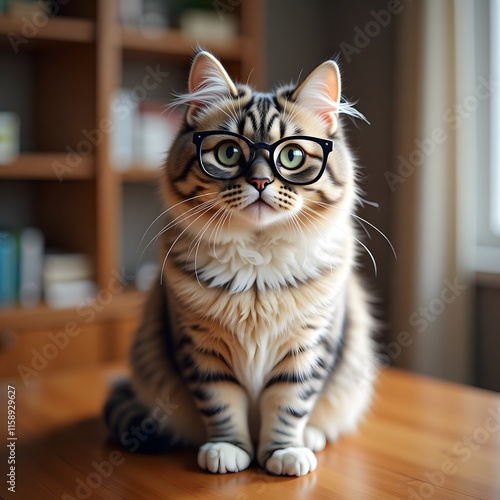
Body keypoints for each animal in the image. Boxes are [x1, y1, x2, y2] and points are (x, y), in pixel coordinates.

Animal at [103, 50, 376, 476]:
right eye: (229, 153)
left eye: (291, 155)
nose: (261, 183)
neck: (257, 265)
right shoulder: (201, 348)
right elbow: (221, 404)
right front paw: (228, 450)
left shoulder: (306, 346)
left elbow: (289, 405)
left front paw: (284, 453)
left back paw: (311, 440)